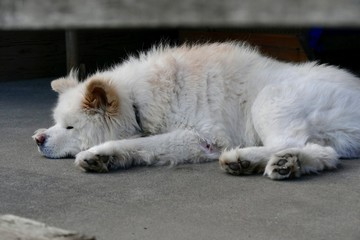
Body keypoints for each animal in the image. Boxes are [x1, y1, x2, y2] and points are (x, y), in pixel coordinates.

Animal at [33, 42, 360, 179]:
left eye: (71, 127)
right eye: (56, 123)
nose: (38, 140)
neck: (140, 99)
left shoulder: (201, 137)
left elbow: (141, 142)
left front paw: (99, 153)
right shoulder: (194, 144)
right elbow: (145, 147)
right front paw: (106, 158)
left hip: (269, 100)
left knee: (301, 146)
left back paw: (253, 159)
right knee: (322, 153)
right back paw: (276, 163)